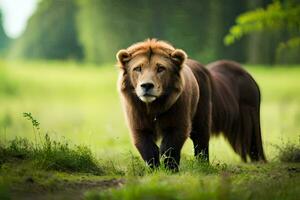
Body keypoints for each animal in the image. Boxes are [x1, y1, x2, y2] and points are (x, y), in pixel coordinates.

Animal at [116, 39, 266, 172]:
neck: (154, 106)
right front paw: (154, 168)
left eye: (160, 68)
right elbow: (146, 145)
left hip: (208, 109)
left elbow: (171, 145)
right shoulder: (138, 117)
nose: (147, 85)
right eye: (138, 68)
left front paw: (171, 168)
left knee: (202, 138)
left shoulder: (178, 116)